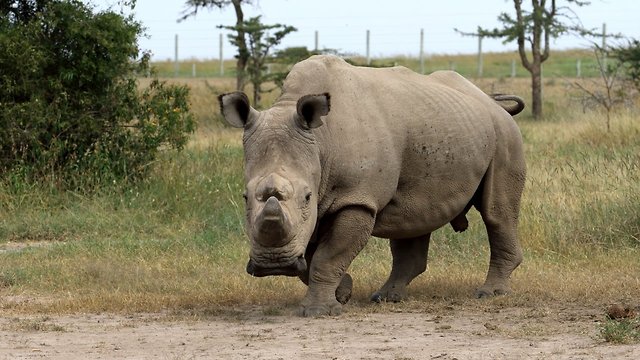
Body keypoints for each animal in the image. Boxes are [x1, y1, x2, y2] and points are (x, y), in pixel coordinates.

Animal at [220, 54, 524, 316]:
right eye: (245, 197)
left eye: (307, 197)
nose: (274, 264)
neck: (320, 142)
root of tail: (492, 101)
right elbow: (310, 256)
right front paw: (343, 292)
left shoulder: (357, 198)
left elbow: (327, 256)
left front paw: (319, 310)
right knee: (413, 217)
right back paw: (386, 297)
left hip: (504, 134)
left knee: (497, 213)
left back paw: (489, 293)